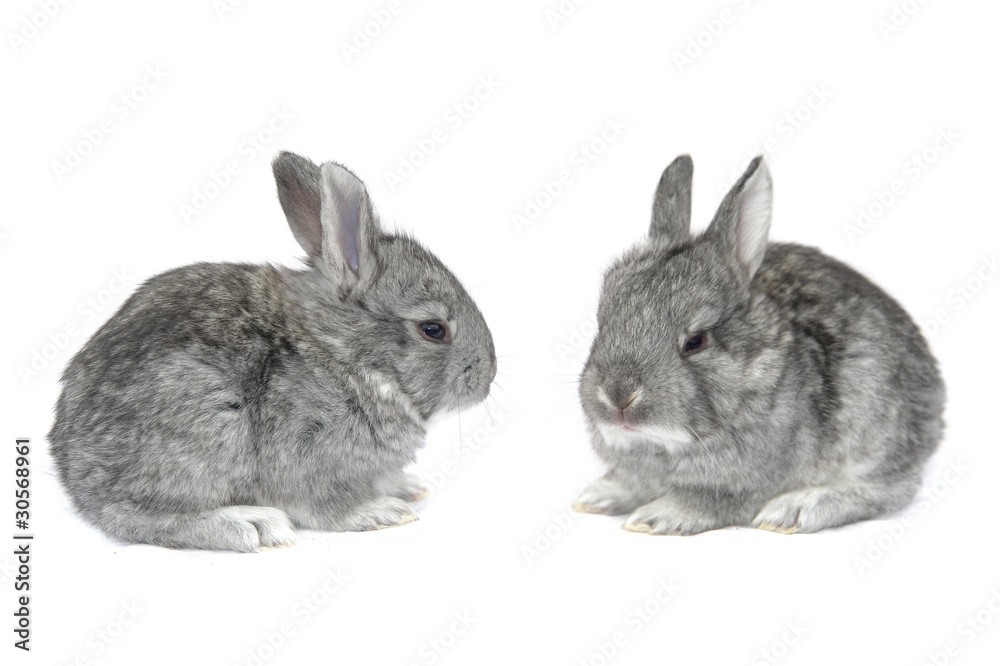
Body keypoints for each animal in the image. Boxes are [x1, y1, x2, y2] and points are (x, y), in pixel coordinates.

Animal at [48, 152, 497, 552]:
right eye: (433, 329)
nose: (487, 378)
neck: (342, 354)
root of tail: (71, 466)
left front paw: (407, 487)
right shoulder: (308, 458)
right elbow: (328, 506)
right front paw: (380, 511)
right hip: (204, 429)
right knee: (133, 515)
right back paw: (250, 524)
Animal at [573, 154, 945, 535]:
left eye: (696, 341)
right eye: (603, 322)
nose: (618, 395)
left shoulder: (744, 486)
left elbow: (709, 502)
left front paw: (655, 517)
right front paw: (597, 496)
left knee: (888, 490)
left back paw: (795, 509)